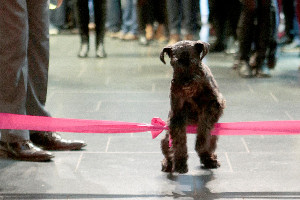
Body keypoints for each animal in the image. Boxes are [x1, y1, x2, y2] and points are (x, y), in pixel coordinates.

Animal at [159, 39, 225, 173]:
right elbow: (179, 141)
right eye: (175, 63)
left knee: (207, 148)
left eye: (194, 61)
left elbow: (204, 126)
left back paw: (210, 160)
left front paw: (200, 144)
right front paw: (180, 164)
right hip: (166, 138)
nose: (185, 83)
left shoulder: (214, 104)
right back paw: (167, 163)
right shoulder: (177, 116)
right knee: (168, 150)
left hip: (214, 137)